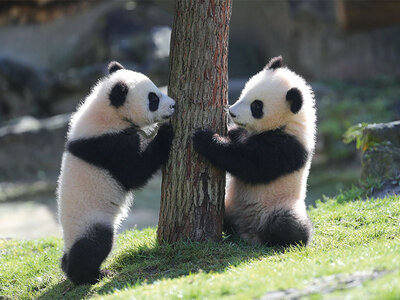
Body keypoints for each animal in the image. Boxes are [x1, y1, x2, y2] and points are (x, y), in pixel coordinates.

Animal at [56, 61, 175, 284]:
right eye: (153, 99)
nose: (173, 105)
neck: (108, 112)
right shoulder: (106, 144)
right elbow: (135, 172)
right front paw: (164, 132)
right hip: (91, 219)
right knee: (95, 244)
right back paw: (89, 275)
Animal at [193, 56, 316, 246]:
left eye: (256, 106)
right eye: (245, 92)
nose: (231, 112)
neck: (288, 122)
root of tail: (247, 230)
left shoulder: (288, 146)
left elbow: (250, 164)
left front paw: (205, 138)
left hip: (279, 205)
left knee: (289, 224)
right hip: (230, 203)